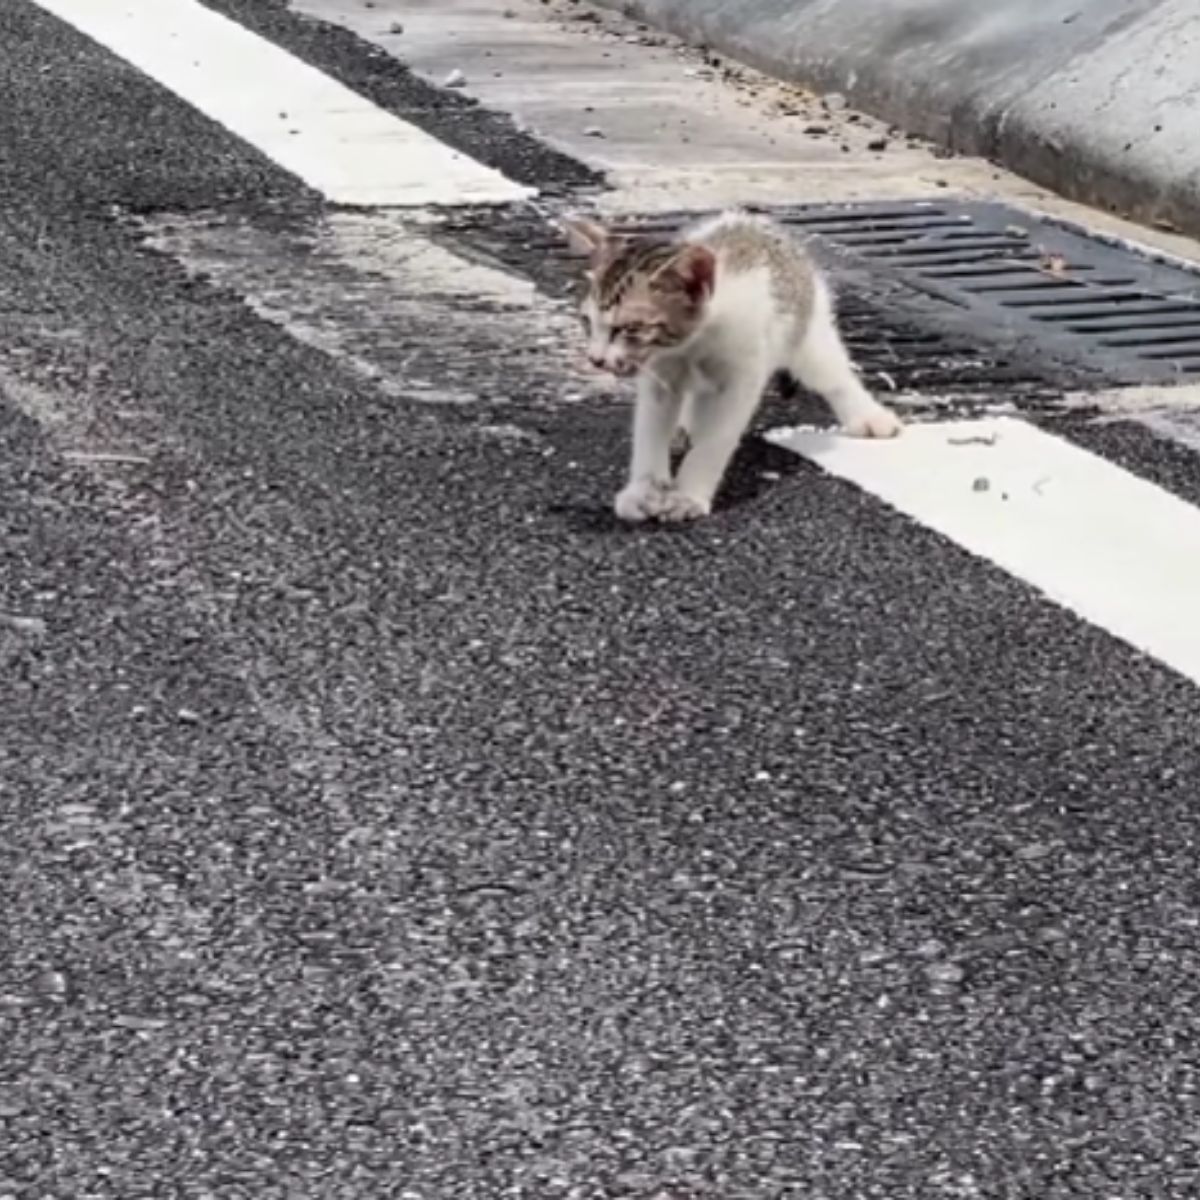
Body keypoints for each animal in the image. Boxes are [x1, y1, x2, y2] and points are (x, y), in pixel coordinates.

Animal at [561, 211, 902, 520]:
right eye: (587, 322)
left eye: (630, 328)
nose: (596, 359)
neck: (694, 343)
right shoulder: (660, 373)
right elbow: (651, 427)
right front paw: (644, 490)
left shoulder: (741, 377)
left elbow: (716, 438)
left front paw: (688, 495)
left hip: (807, 331)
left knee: (831, 374)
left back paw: (869, 417)